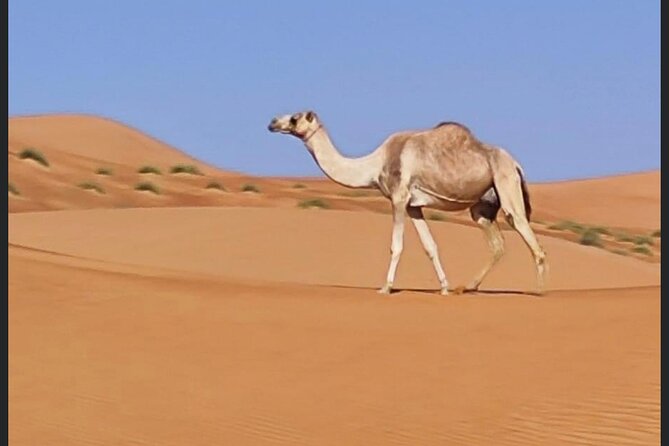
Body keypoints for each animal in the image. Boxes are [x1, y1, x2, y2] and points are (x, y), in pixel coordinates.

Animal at [268, 110, 547, 295]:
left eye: (295, 118)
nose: (272, 122)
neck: (374, 165)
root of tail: (516, 164)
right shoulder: (414, 206)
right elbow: (430, 246)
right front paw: (444, 287)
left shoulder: (399, 198)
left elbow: (396, 245)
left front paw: (385, 287)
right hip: (483, 204)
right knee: (497, 243)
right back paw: (467, 286)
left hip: (506, 183)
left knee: (523, 228)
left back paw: (540, 289)